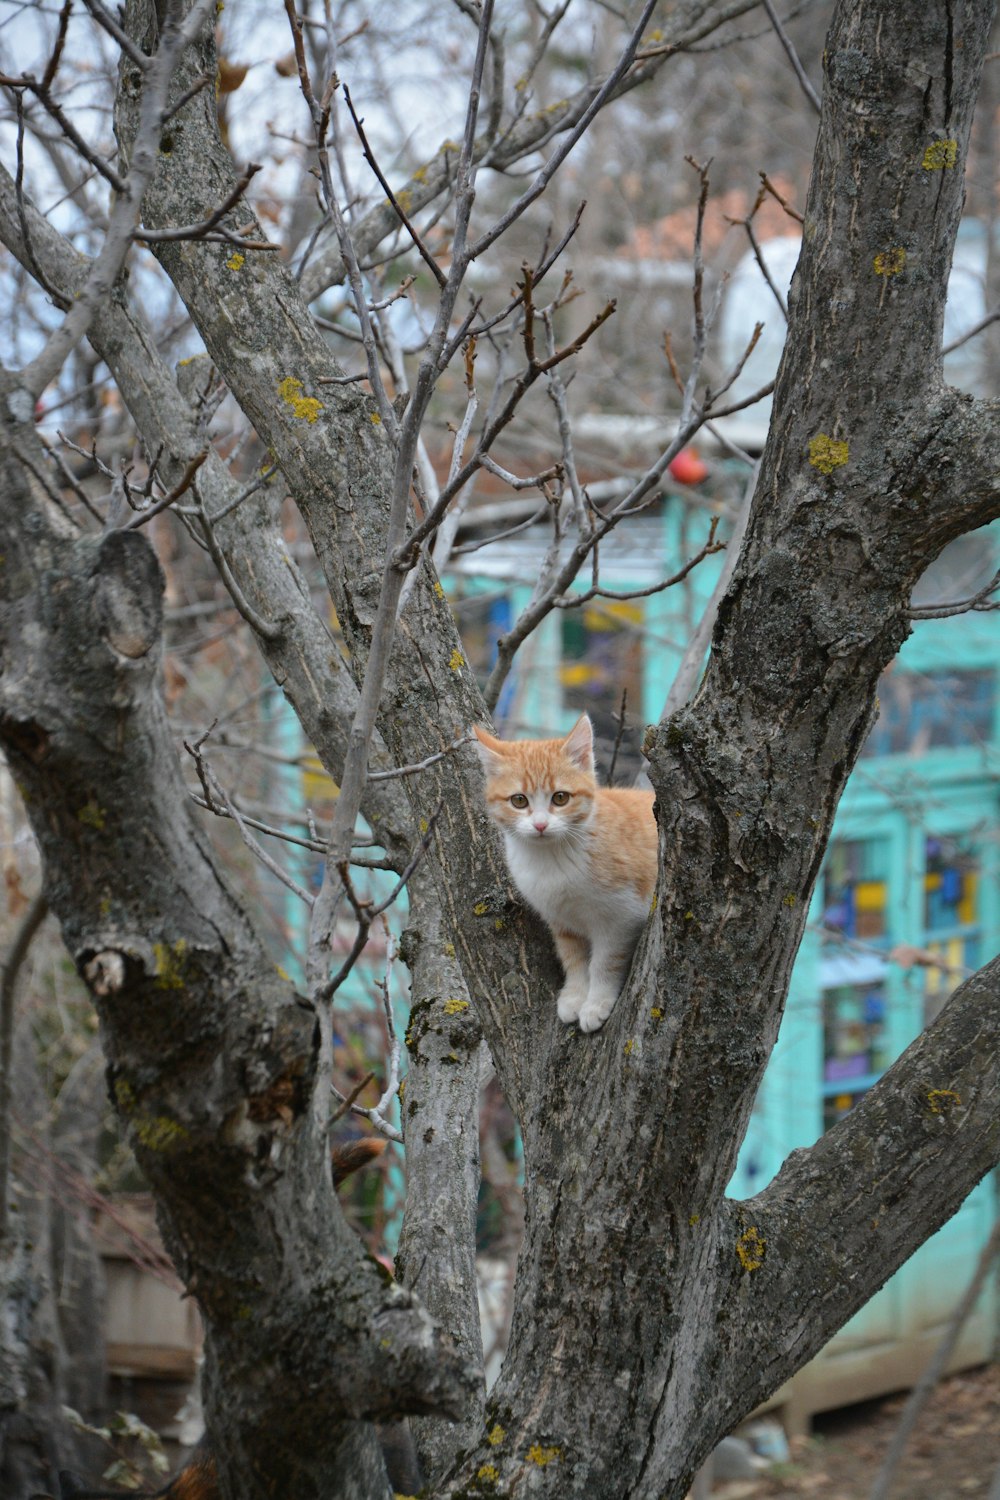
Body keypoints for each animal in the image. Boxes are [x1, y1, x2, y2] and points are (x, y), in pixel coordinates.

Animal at [476, 714, 659, 1032]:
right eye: (519, 800)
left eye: (560, 798)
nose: (540, 825)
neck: (552, 860)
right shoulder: (560, 919)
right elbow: (573, 957)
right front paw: (575, 997)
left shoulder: (623, 917)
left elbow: (605, 960)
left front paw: (596, 1003)